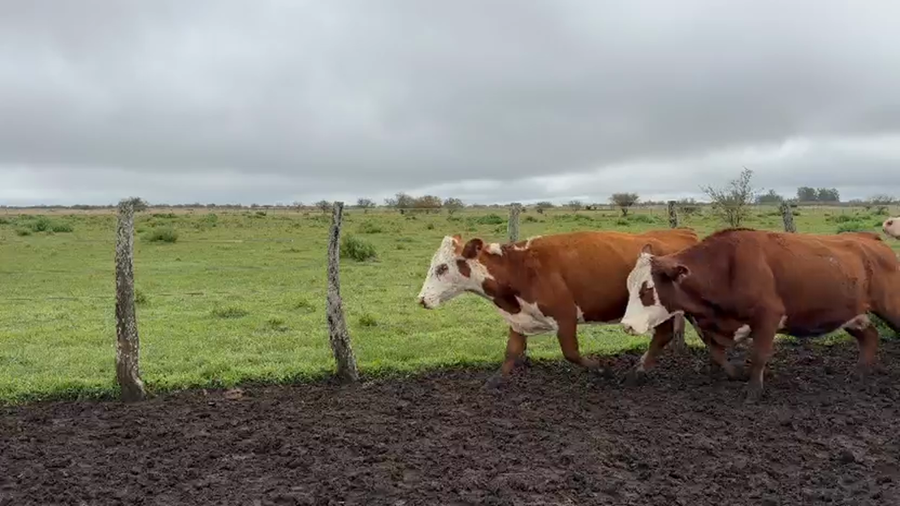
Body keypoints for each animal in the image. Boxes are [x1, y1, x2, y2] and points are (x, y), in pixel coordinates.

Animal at [415, 229, 700, 387]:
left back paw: (636, 372)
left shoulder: (565, 316)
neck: (520, 268)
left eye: (442, 267)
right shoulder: (519, 320)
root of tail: (682, 233)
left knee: (662, 335)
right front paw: (493, 382)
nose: (421, 299)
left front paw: (603, 370)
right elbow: (511, 353)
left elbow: (571, 353)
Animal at [620, 228, 900, 402]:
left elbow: (758, 355)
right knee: (870, 336)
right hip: (851, 313)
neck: (726, 268)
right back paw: (859, 374)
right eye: (630, 286)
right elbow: (717, 354)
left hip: (890, 307)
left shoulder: (768, 317)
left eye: (647, 289)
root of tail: (871, 240)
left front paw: (753, 391)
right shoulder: (710, 325)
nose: (626, 325)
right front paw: (736, 374)